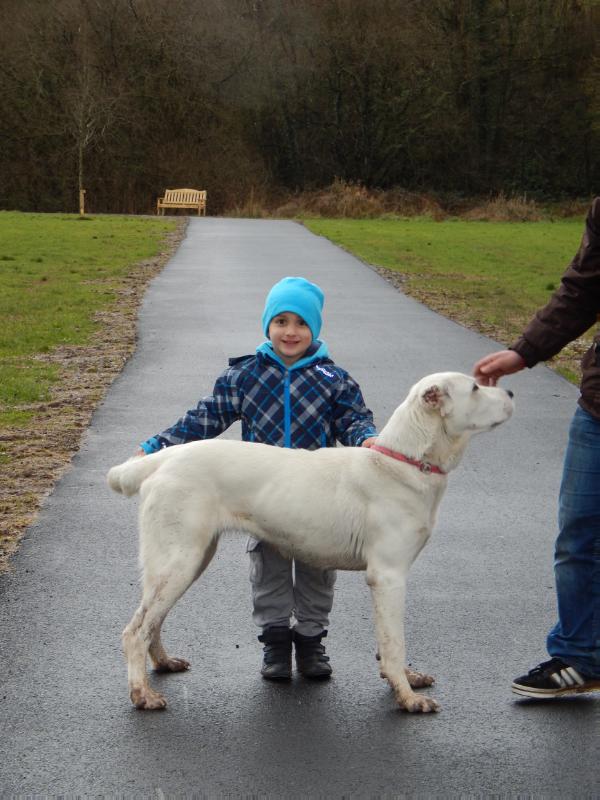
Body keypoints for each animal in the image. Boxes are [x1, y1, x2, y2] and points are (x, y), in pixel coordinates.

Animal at [106, 372, 510, 716]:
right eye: (475, 387)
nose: (510, 392)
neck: (404, 461)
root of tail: (164, 458)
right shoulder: (389, 576)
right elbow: (395, 642)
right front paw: (407, 697)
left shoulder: (387, 581)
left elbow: (386, 641)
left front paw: (406, 680)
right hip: (179, 561)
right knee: (135, 631)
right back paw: (142, 694)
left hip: (186, 561)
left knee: (151, 620)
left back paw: (162, 663)